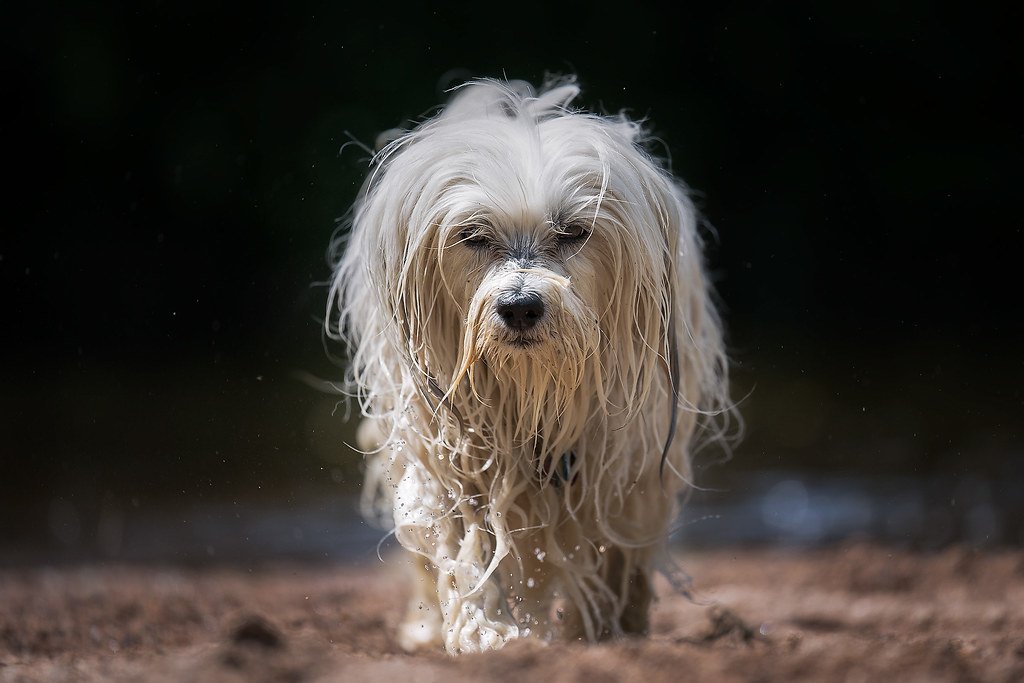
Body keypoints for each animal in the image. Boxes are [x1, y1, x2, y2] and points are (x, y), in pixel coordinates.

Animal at [323, 77, 733, 655]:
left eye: (574, 231)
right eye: (473, 235)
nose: (519, 305)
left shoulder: (624, 464)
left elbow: (614, 552)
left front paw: (604, 632)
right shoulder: (453, 450)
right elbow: (468, 546)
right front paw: (487, 631)